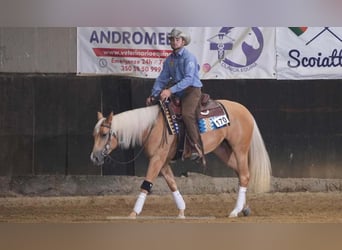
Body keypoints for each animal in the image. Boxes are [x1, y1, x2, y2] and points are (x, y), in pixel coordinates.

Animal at [89, 98, 272, 218]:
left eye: (104, 134)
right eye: (94, 135)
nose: (94, 158)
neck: (152, 126)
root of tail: (245, 111)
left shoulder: (156, 159)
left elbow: (146, 183)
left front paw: (134, 212)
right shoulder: (162, 162)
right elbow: (172, 184)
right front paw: (182, 210)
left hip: (240, 149)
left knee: (245, 175)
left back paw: (235, 211)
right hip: (223, 151)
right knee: (242, 175)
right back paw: (243, 208)